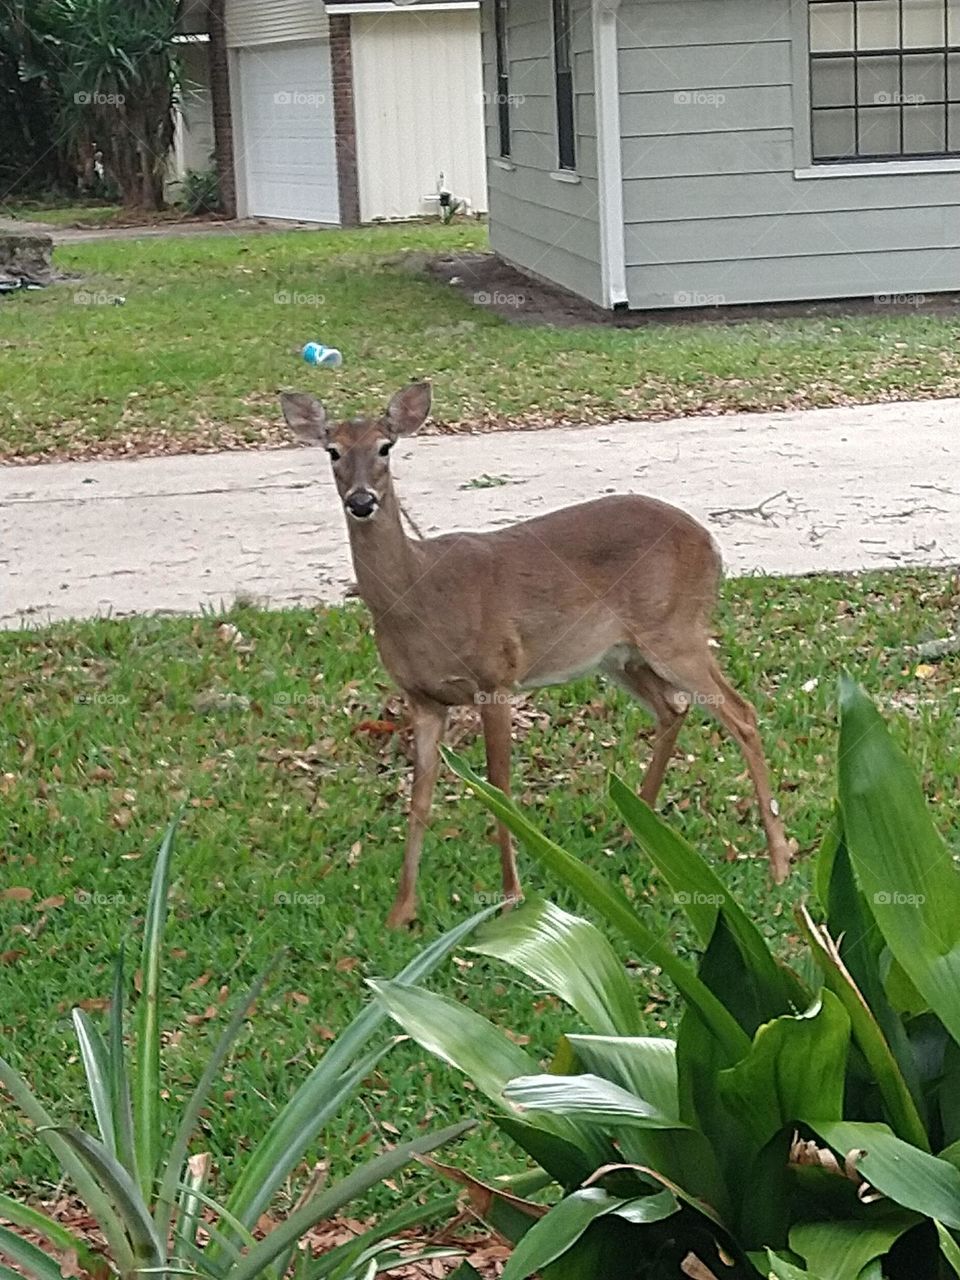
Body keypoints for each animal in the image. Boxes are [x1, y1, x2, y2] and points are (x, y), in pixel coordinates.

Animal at [281, 381, 792, 928]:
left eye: (385, 447)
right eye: (333, 451)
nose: (362, 501)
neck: (419, 596)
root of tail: (712, 544)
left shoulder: (496, 678)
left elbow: (499, 788)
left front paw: (511, 897)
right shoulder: (422, 698)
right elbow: (419, 800)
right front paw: (401, 913)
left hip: (676, 630)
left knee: (741, 713)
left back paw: (779, 864)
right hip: (620, 654)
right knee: (672, 708)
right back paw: (632, 833)